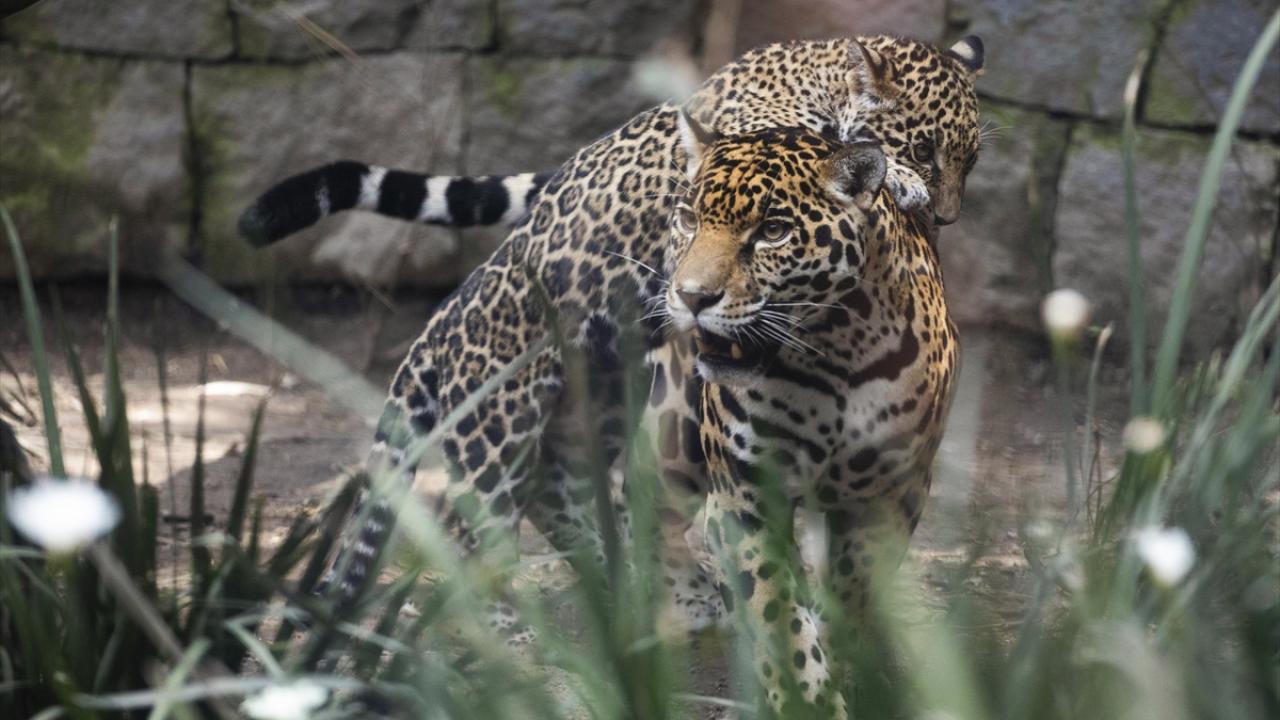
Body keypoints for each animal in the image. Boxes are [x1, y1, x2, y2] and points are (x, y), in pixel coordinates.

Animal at [239, 35, 984, 654]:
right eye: (924, 150)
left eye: (971, 162)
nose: (946, 216)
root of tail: (435, 332)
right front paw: (892, 181)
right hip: (496, 438)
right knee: (472, 528)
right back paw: (512, 628)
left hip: (590, 400)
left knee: (569, 489)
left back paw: (643, 591)